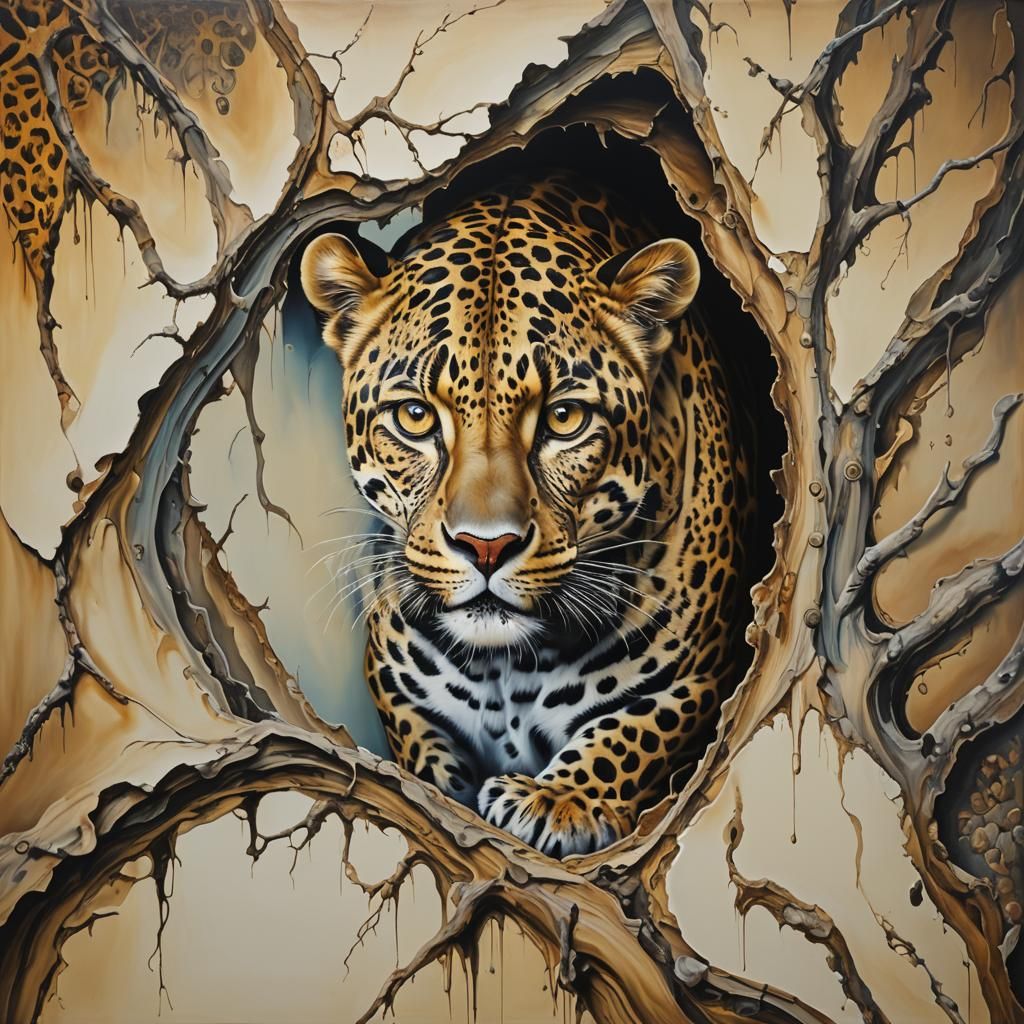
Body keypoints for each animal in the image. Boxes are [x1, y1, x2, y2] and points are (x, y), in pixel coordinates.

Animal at [301, 174, 752, 857]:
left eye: (565, 418)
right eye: (414, 416)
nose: (485, 547)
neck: (509, 665)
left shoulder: (697, 679)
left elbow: (634, 732)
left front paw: (557, 801)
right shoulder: (392, 676)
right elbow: (422, 750)